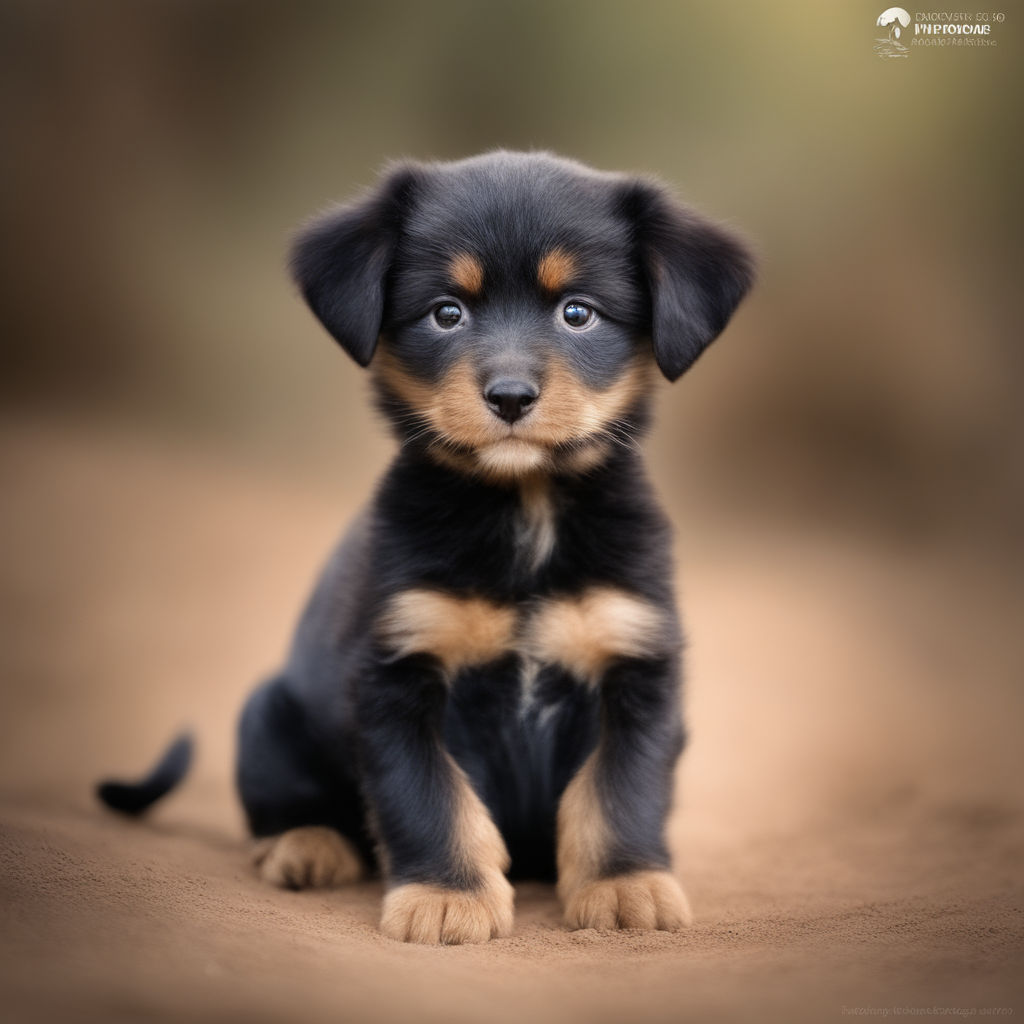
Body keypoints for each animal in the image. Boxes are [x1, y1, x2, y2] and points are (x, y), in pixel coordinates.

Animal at [97, 151, 753, 942]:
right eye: (447, 312)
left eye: (578, 312)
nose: (510, 397)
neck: (523, 510)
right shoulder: (397, 678)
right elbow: (431, 796)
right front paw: (447, 898)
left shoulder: (636, 665)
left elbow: (618, 788)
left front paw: (626, 886)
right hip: (268, 713)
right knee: (285, 806)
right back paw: (305, 844)